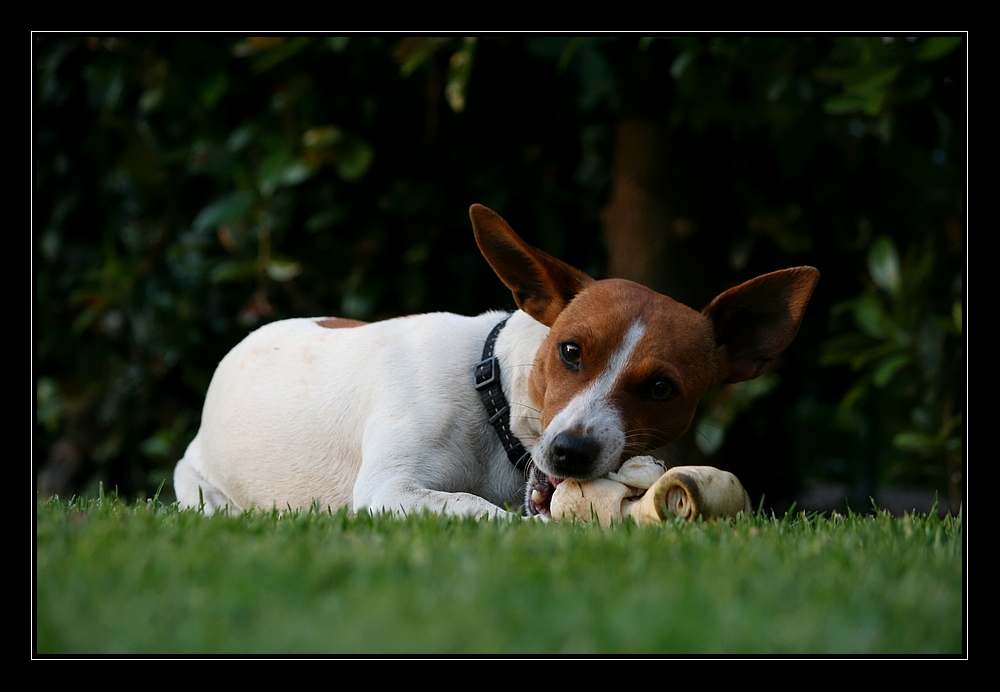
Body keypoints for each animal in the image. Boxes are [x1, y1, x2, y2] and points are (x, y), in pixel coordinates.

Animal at [174, 205, 820, 520]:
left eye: (662, 388)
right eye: (569, 351)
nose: (571, 452)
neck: (490, 400)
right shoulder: (388, 489)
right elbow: (480, 510)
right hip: (199, 489)